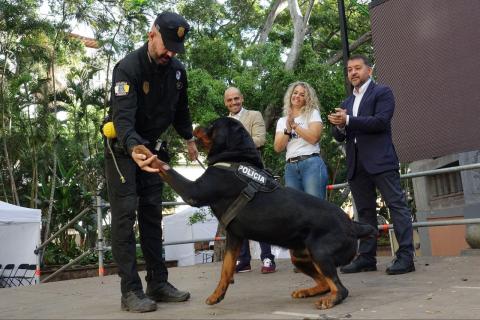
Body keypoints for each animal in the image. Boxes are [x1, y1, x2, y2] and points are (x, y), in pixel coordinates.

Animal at [133, 116, 376, 308]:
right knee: (325, 283)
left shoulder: (192, 192)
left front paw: (144, 152)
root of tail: (352, 224)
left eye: (212, 125)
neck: (235, 158)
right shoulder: (234, 236)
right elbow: (226, 269)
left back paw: (329, 299)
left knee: (339, 288)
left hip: (321, 252)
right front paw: (217, 294)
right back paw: (307, 291)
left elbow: (165, 168)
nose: (196, 126)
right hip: (299, 255)